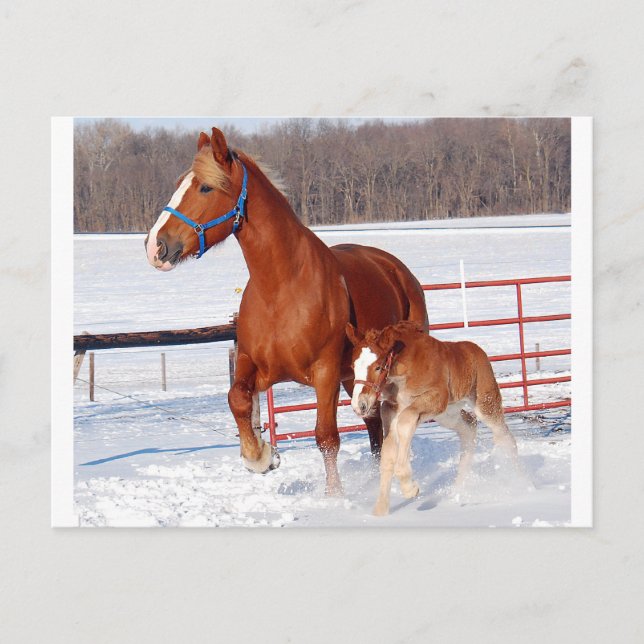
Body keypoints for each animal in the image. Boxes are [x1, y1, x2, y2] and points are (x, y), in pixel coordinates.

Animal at [145, 127, 428, 495]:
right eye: (180, 182)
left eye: (205, 187)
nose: (155, 246)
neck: (282, 288)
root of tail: (396, 269)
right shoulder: (254, 364)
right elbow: (237, 398)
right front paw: (261, 456)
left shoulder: (325, 373)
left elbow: (326, 437)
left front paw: (334, 497)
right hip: (358, 376)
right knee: (373, 423)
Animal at [346, 320, 519, 515]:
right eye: (353, 367)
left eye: (377, 367)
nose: (360, 405)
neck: (404, 370)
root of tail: (478, 351)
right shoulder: (390, 409)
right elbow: (387, 455)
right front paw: (380, 510)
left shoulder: (435, 398)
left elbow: (405, 423)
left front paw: (410, 488)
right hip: (447, 415)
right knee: (469, 426)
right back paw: (457, 490)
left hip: (483, 404)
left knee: (505, 436)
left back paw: (523, 484)